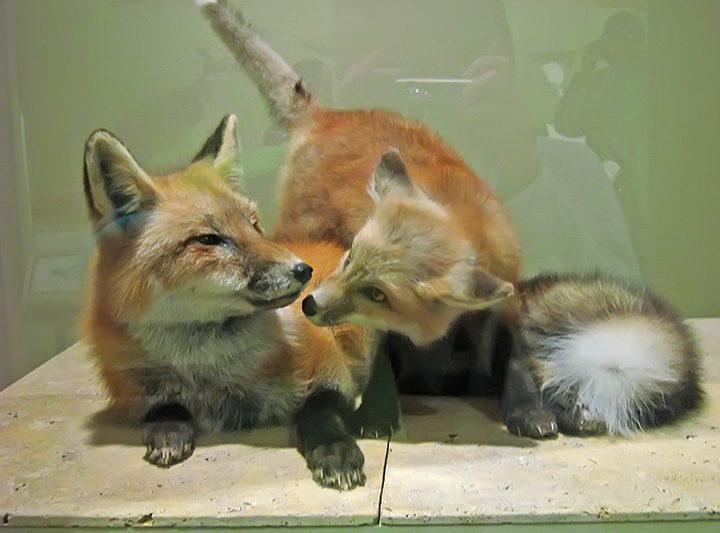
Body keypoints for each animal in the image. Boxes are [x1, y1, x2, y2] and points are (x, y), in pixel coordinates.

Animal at [83, 114, 376, 490]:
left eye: (254, 226)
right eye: (208, 240)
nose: (303, 270)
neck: (210, 371)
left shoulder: (331, 370)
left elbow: (321, 412)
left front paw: (334, 448)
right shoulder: (131, 392)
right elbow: (163, 408)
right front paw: (168, 431)